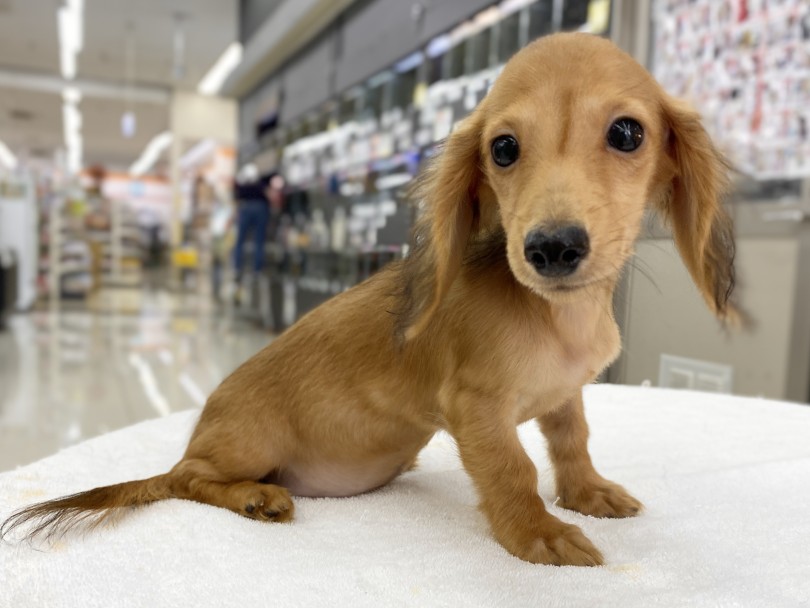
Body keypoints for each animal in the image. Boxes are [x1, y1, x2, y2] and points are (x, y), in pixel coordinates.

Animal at [0, 32, 732, 564]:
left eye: (628, 133)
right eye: (503, 148)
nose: (551, 249)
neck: (560, 315)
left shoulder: (564, 396)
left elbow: (572, 442)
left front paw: (586, 493)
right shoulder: (474, 409)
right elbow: (514, 470)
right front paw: (537, 533)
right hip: (241, 446)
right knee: (185, 480)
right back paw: (254, 498)